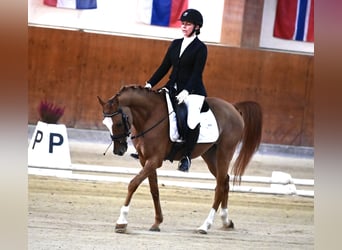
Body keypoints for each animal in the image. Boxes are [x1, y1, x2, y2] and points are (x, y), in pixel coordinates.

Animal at [97, 85, 264, 234]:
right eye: (106, 124)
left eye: (119, 123)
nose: (119, 150)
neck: (150, 116)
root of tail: (233, 107)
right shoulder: (145, 160)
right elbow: (154, 190)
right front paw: (157, 222)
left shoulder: (155, 160)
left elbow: (133, 184)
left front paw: (121, 222)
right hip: (210, 154)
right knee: (225, 181)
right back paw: (226, 221)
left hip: (225, 151)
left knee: (220, 186)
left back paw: (205, 226)